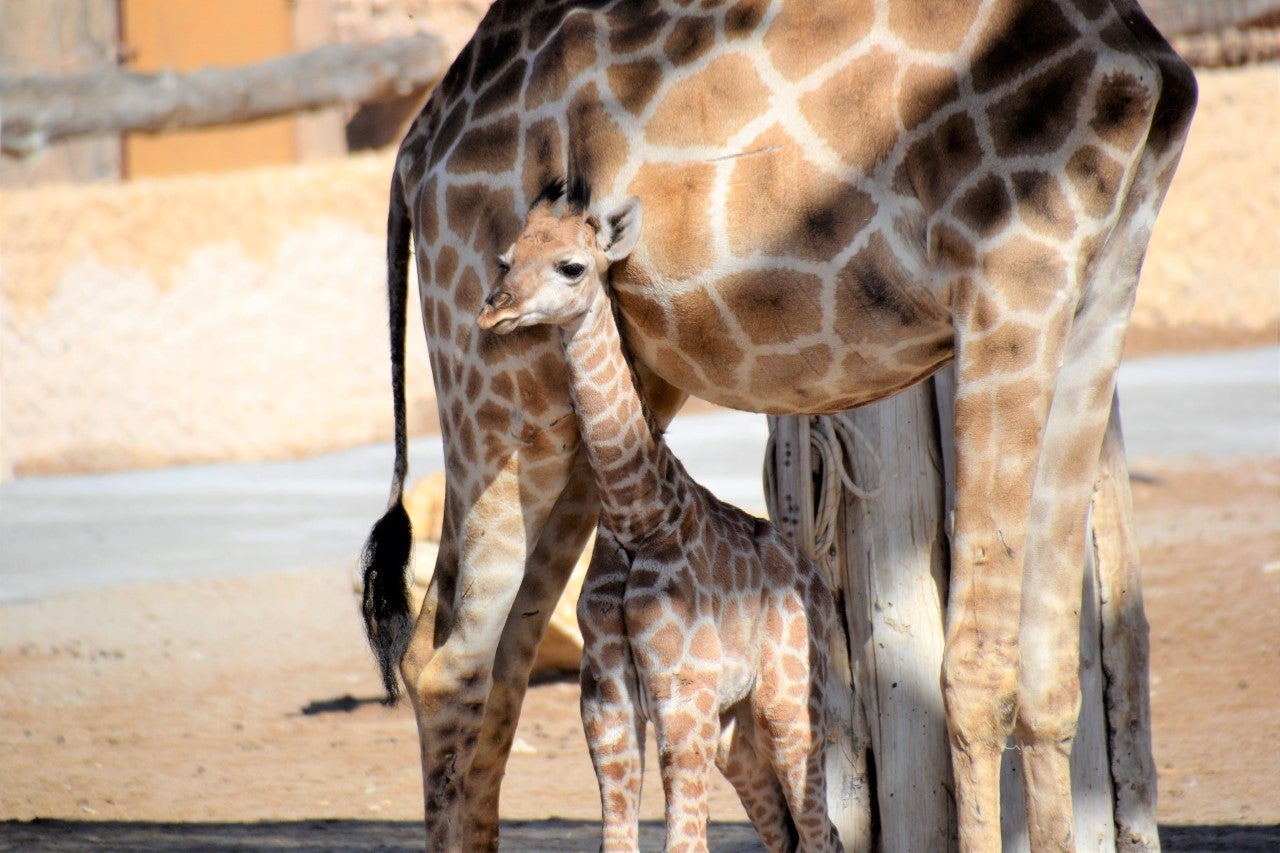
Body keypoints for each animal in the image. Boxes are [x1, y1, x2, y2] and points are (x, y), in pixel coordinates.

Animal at [475, 180, 841, 852]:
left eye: (572, 266)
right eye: (506, 260)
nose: (495, 310)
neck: (636, 514)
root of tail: (818, 581)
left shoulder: (683, 692)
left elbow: (686, 840)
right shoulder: (606, 695)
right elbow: (618, 836)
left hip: (787, 701)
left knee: (820, 828)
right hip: (733, 724)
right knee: (787, 831)